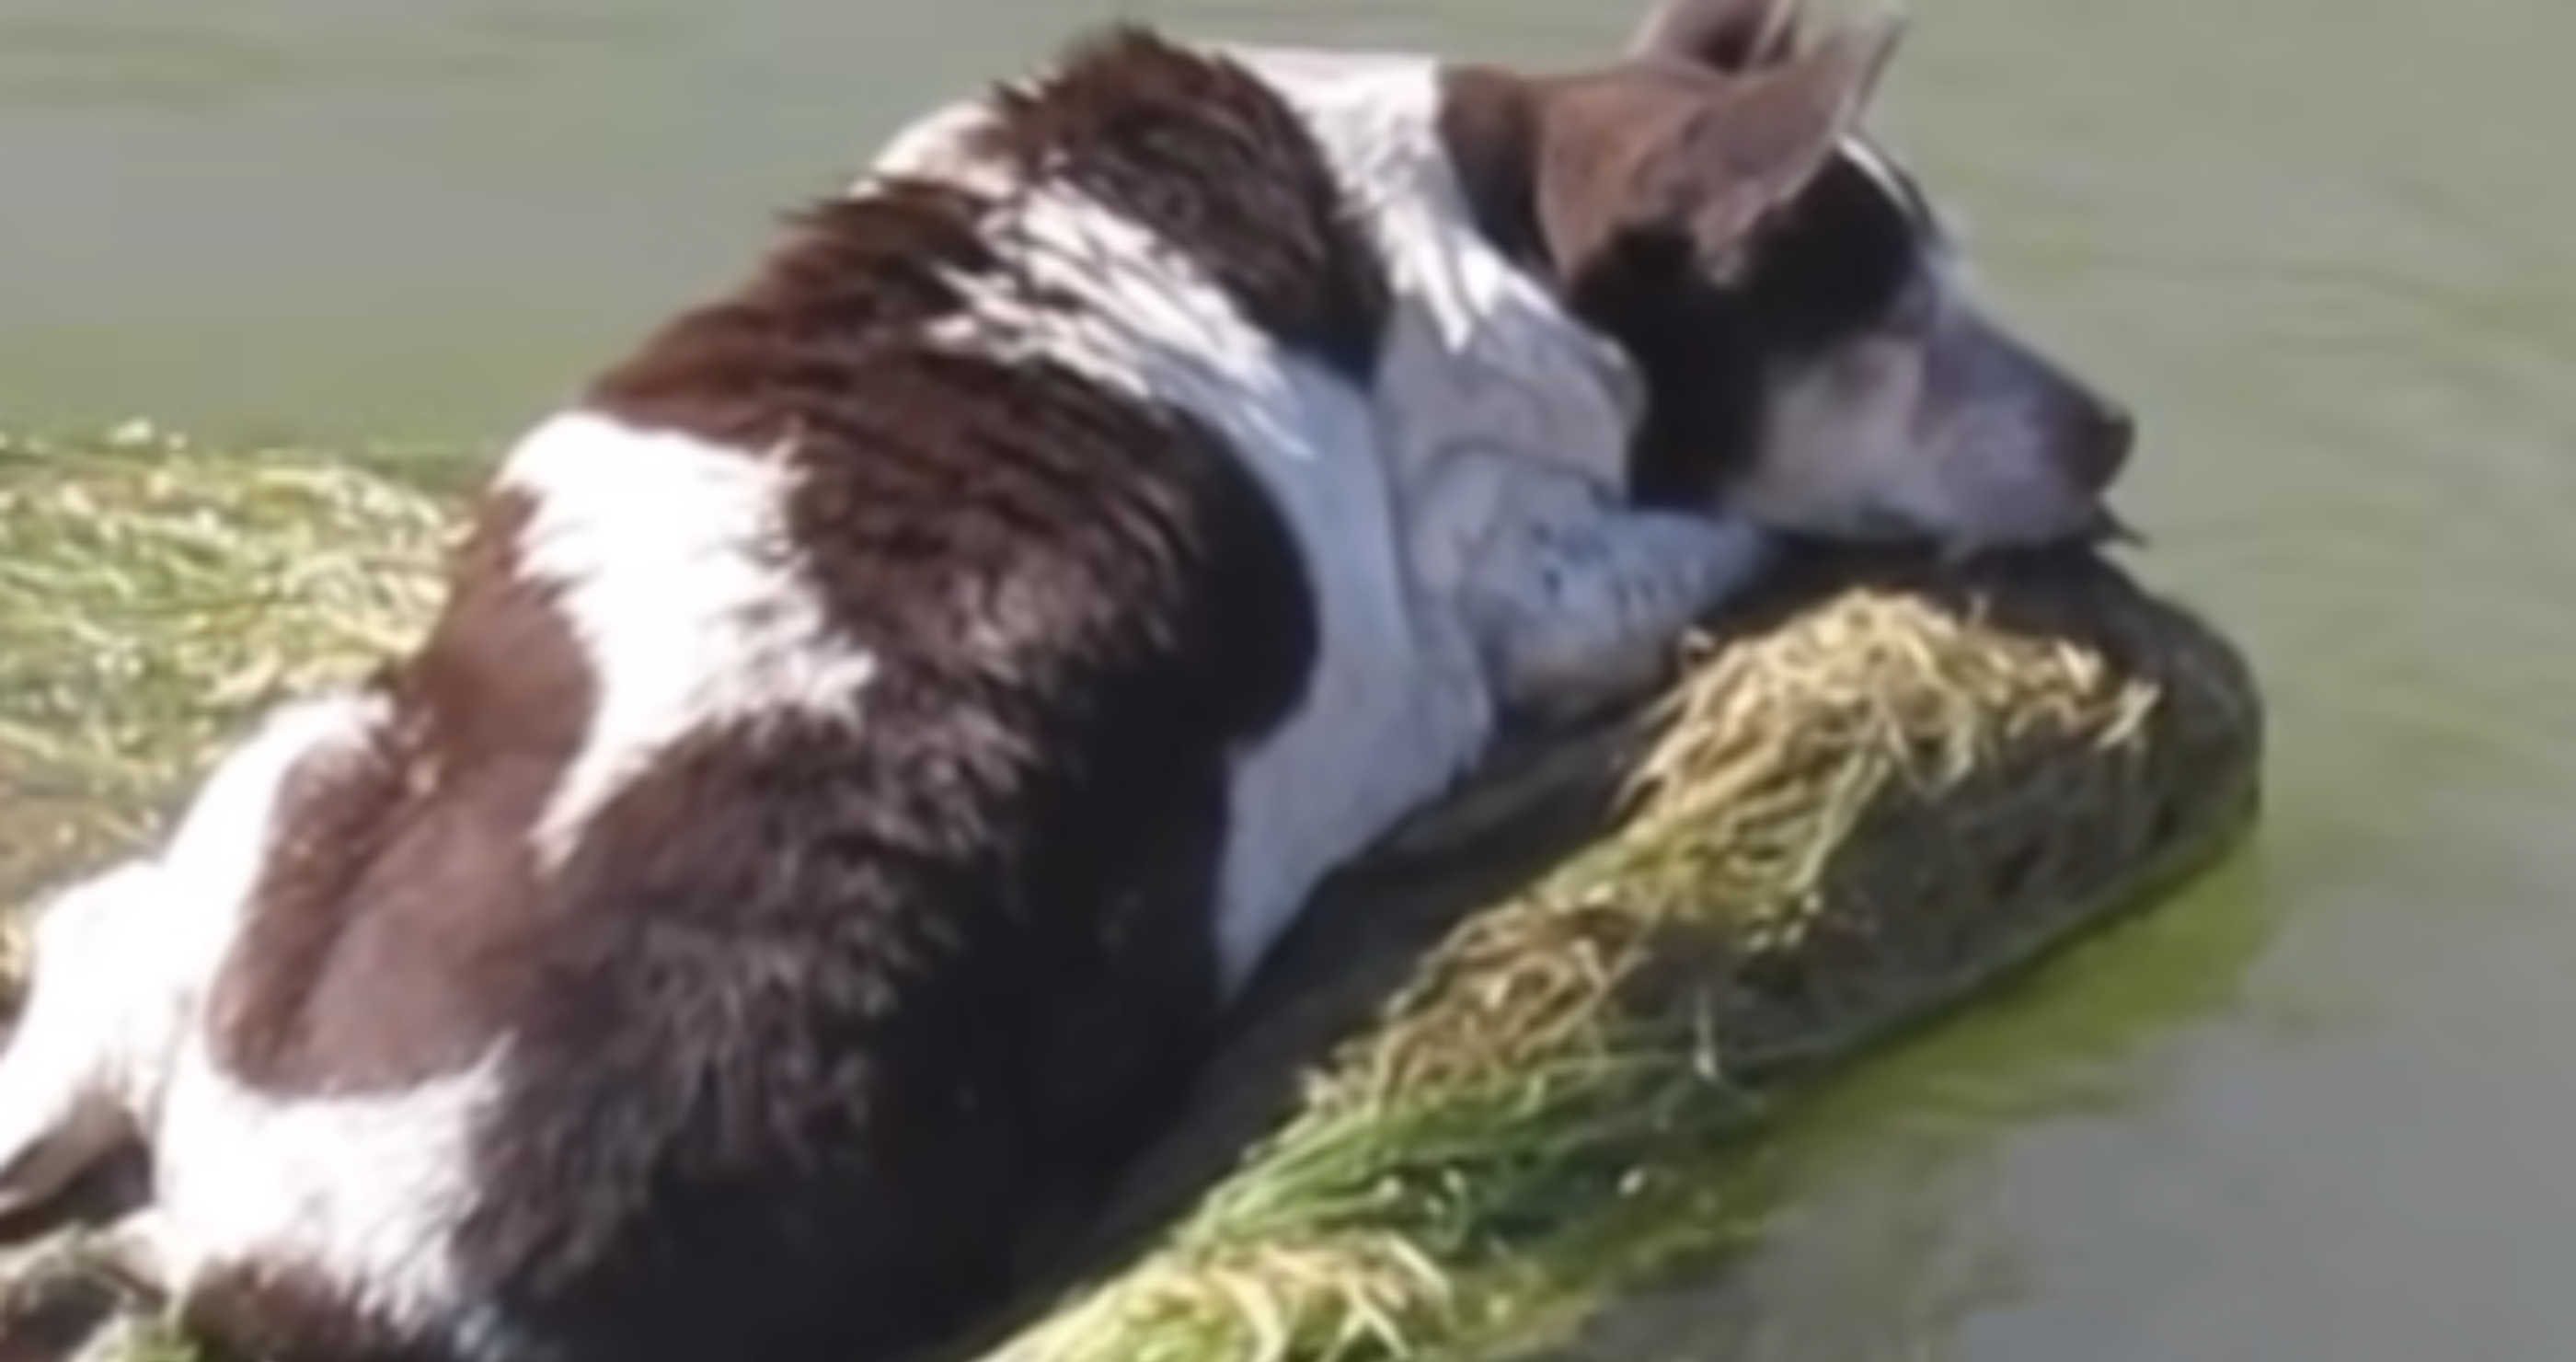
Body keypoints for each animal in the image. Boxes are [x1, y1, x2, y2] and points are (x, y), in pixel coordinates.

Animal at [0, 2, 2133, 1359]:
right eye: (1888, 313)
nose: (2116, 431)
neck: (1477, 227)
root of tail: (318, 1286)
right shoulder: (1529, 582)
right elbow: (1704, 541)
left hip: (316, 759)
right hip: (311, 762)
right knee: (102, 944)